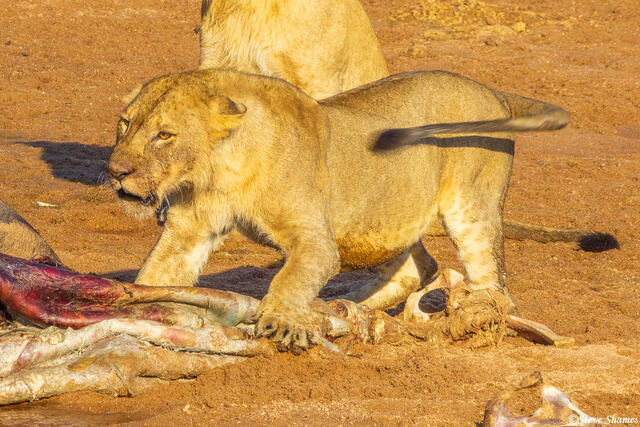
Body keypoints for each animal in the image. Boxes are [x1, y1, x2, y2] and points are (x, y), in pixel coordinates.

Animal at [106, 68, 612, 349]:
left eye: (164, 135)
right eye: (124, 124)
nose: (115, 171)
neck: (218, 168)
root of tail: (491, 91)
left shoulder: (314, 238)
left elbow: (290, 277)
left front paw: (281, 321)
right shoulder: (190, 229)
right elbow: (158, 272)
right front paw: (133, 307)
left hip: (472, 206)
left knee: (495, 285)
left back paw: (477, 322)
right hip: (387, 216)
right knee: (417, 267)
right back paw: (349, 308)